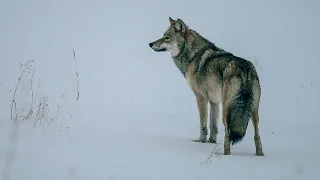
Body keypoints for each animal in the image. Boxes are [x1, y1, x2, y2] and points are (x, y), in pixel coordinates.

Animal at [149, 16, 264, 155]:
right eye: (163, 36)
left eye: (167, 37)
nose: (150, 44)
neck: (192, 55)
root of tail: (245, 69)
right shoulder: (214, 101)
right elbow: (213, 126)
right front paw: (211, 142)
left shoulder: (201, 97)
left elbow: (203, 123)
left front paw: (200, 141)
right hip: (253, 110)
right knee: (257, 135)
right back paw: (259, 155)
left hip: (228, 110)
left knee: (228, 135)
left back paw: (226, 154)